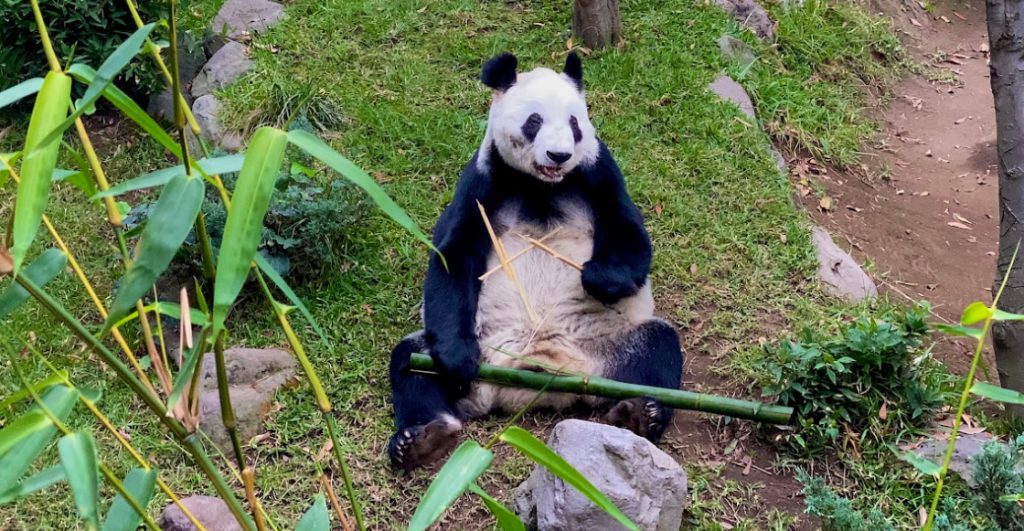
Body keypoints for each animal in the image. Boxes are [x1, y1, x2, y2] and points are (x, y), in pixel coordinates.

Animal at [388, 51, 684, 471]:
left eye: (575, 124)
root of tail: (533, 380)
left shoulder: (598, 172)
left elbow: (630, 235)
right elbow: (454, 258)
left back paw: (641, 413)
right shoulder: (484, 182)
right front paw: (458, 360)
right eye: (534, 121)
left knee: (659, 347)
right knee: (411, 362)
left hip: (608, 351)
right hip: (482, 352)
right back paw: (422, 437)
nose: (558, 155)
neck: (542, 185)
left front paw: (598, 279)